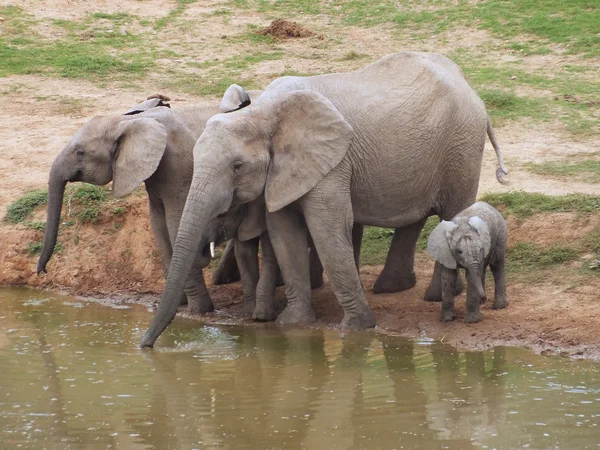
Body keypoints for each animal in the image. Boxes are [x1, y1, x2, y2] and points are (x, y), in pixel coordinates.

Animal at [35, 87, 262, 312]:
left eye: (80, 152)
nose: (41, 271)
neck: (132, 120)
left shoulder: (178, 168)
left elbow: (174, 225)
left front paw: (199, 310)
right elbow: (158, 226)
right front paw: (179, 303)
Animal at [139, 52, 506, 348]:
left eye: (237, 166)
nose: (145, 345)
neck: (263, 112)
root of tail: (470, 88)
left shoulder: (332, 160)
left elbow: (327, 227)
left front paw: (357, 328)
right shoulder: (282, 172)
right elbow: (284, 234)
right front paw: (295, 324)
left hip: (461, 146)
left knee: (452, 211)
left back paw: (436, 295)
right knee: (413, 219)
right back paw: (394, 288)